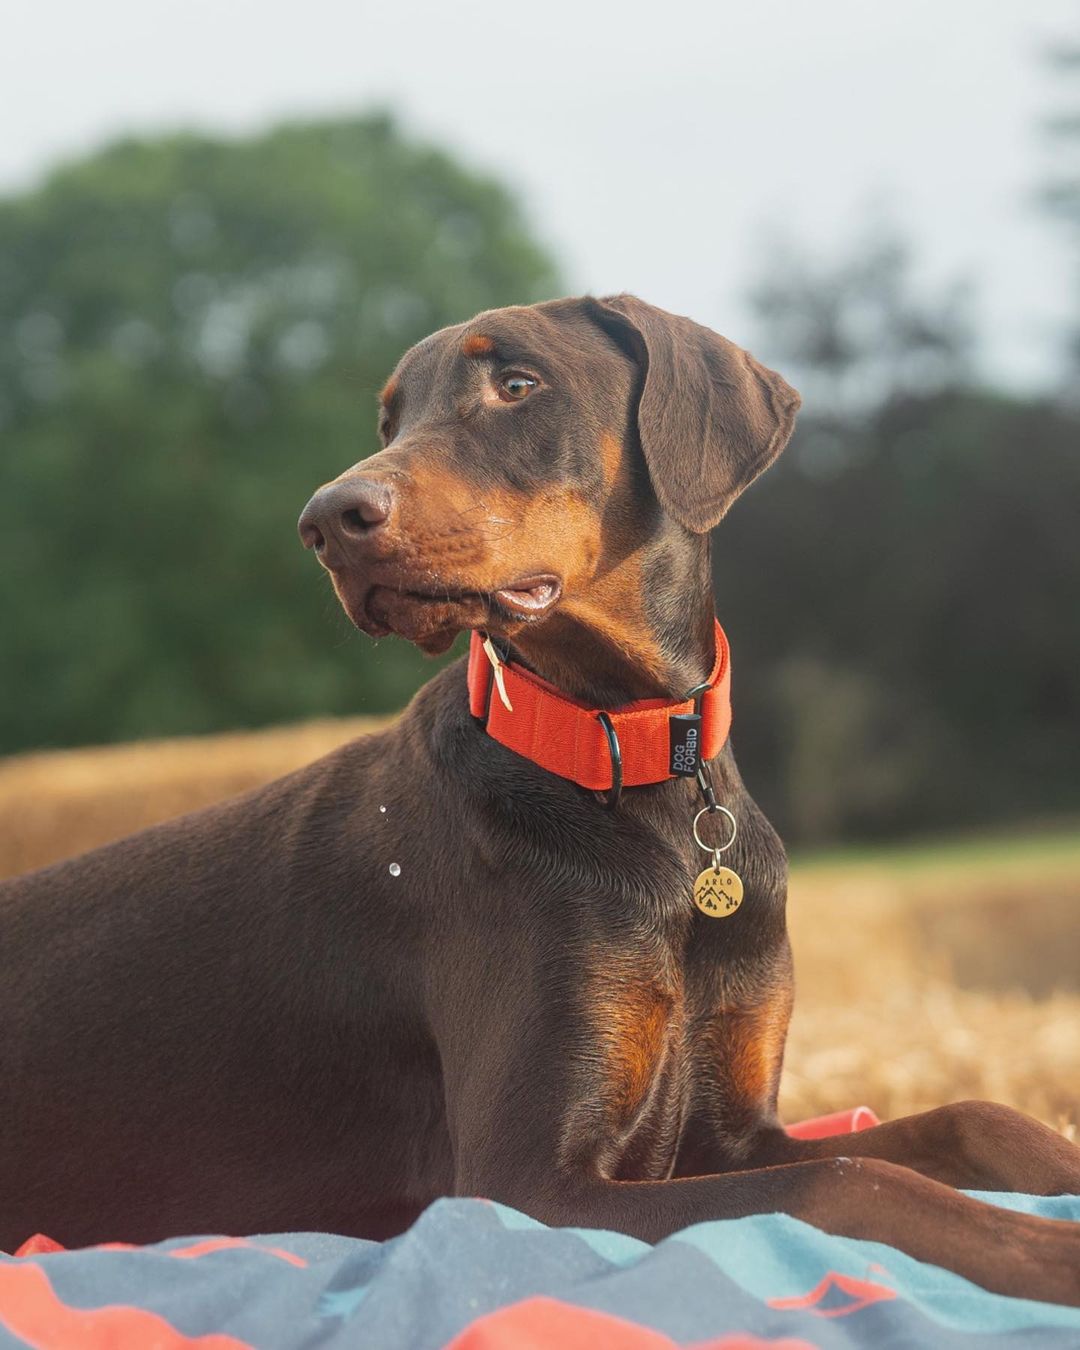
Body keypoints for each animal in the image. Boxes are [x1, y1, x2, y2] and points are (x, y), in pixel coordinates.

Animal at [2, 298, 1080, 1306]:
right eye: (391, 418)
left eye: (516, 386)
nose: (325, 521)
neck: (633, 763)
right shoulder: (528, 1185)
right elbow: (853, 1181)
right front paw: (1046, 1252)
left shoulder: (738, 1134)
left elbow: (969, 1115)